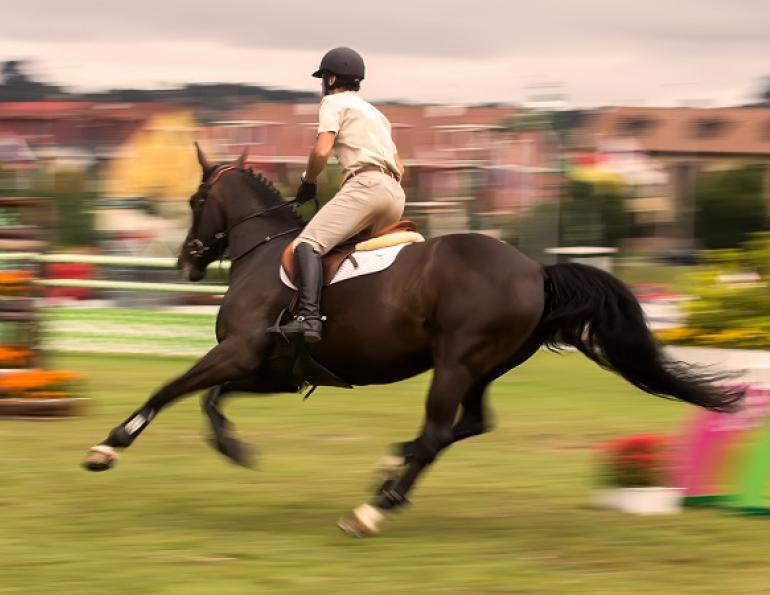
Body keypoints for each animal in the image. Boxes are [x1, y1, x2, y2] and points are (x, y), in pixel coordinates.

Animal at [83, 145, 743, 536]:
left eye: (196, 200)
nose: (186, 262)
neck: (264, 252)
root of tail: (536, 269)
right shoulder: (269, 369)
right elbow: (210, 398)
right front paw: (232, 446)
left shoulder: (237, 353)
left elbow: (171, 387)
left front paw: (108, 447)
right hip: (479, 367)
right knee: (466, 425)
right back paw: (387, 471)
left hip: (455, 363)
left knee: (436, 433)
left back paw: (373, 508)